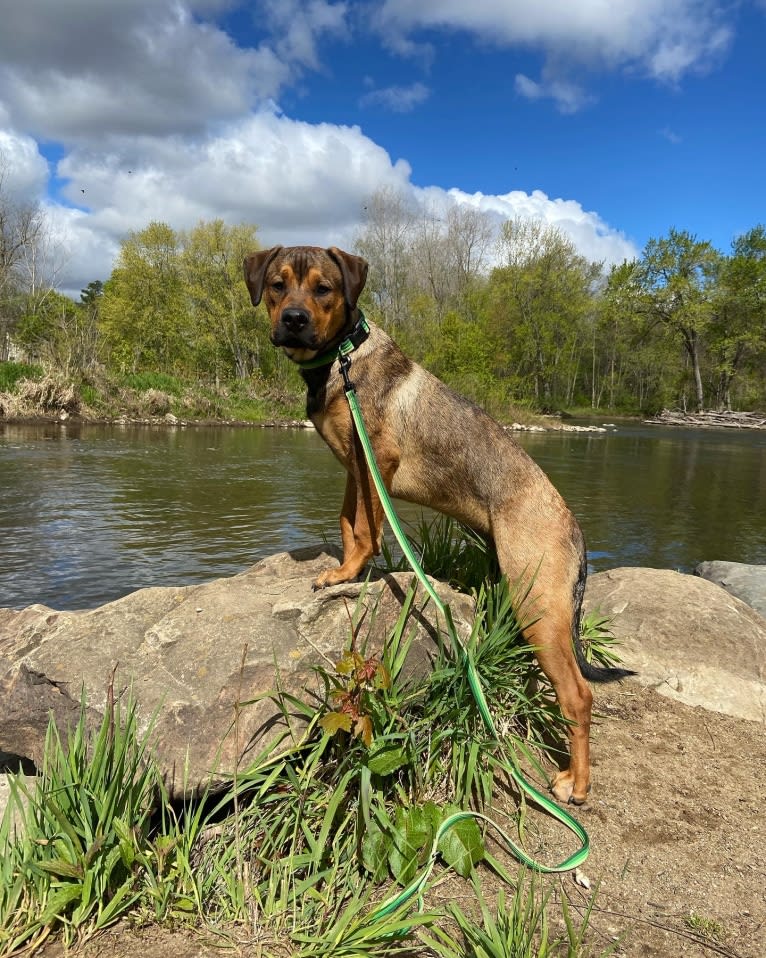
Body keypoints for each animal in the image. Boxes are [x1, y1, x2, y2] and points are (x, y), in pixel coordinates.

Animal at [243, 244, 632, 808]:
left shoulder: (375, 459)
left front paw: (347, 574)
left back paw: (576, 785)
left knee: (578, 696)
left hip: (538, 607)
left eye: (323, 289)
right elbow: (348, 521)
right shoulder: (354, 466)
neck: (343, 357)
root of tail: (575, 529)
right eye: (277, 284)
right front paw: (343, 567)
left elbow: (367, 529)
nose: (293, 320)